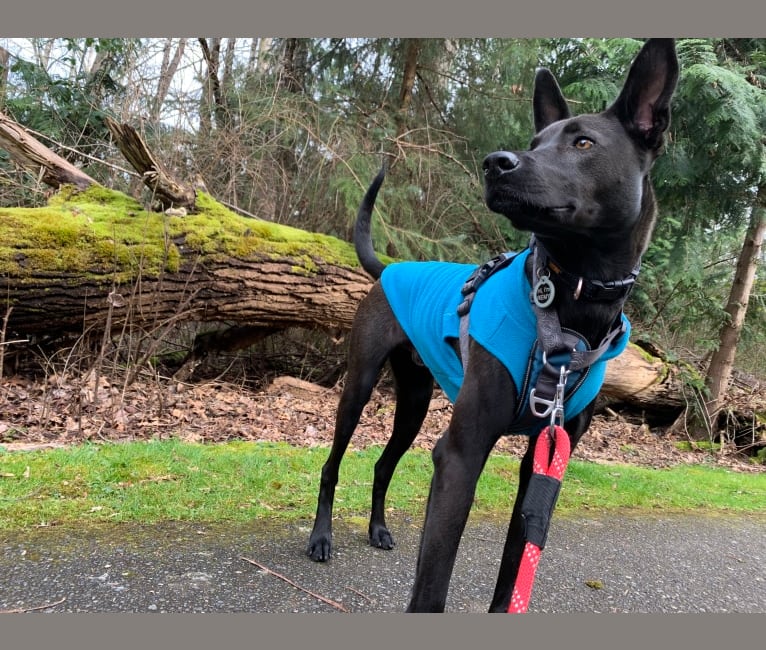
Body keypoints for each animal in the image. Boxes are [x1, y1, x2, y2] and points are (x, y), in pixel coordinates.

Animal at [306, 38, 680, 612]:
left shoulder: (546, 460)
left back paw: (378, 528)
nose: (494, 163)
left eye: (584, 142)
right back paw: (321, 537)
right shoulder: (461, 456)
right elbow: (431, 586)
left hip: (414, 402)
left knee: (384, 464)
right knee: (333, 463)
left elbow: (513, 569)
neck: (570, 307)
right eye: (535, 141)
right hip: (359, 387)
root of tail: (390, 266)